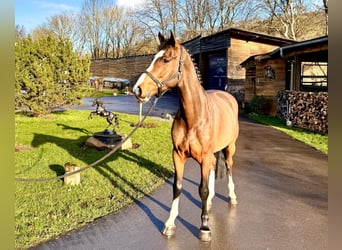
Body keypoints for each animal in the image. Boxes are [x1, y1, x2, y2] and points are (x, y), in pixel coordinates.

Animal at [132, 32, 239, 241]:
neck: (195, 117)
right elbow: (178, 187)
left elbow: (202, 189)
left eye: (166, 59)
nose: (138, 89)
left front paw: (204, 227)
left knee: (229, 167)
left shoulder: (204, 157)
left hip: (229, 147)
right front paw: (170, 224)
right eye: (153, 57)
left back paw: (232, 197)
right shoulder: (178, 155)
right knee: (214, 167)